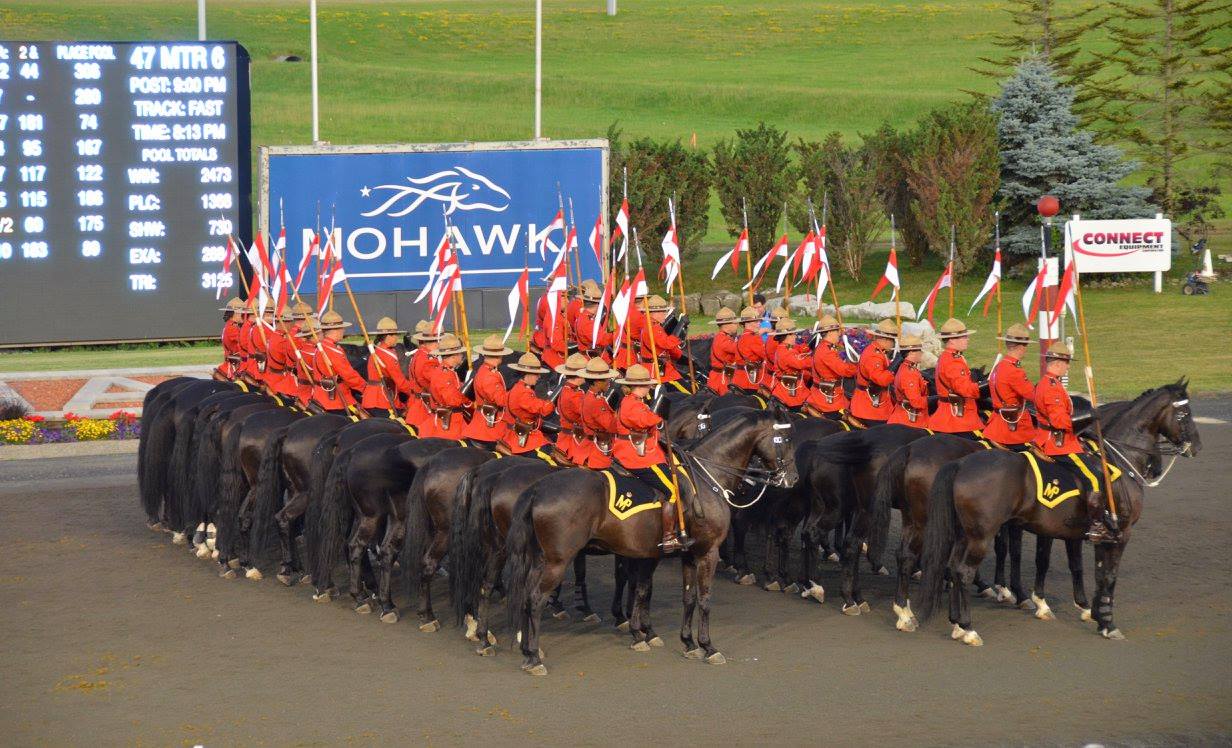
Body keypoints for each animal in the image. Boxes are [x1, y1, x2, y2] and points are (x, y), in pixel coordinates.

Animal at [502, 409, 798, 680]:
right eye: (784, 438)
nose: (793, 478)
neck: (708, 476)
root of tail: (537, 489)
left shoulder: (687, 554)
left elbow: (686, 597)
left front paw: (687, 642)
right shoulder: (708, 552)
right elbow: (703, 598)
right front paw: (708, 646)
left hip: (540, 559)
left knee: (527, 595)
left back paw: (528, 649)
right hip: (557, 561)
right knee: (536, 598)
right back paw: (534, 655)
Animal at [916, 379, 1202, 645]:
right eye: (1185, 413)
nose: (1196, 447)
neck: (1116, 460)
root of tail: (961, 463)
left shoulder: (1087, 534)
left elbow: (1091, 571)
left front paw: (1094, 614)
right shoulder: (1121, 533)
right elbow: (1109, 576)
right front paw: (1107, 623)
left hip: (964, 534)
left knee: (954, 568)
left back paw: (956, 622)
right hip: (980, 536)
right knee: (963, 571)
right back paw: (968, 627)